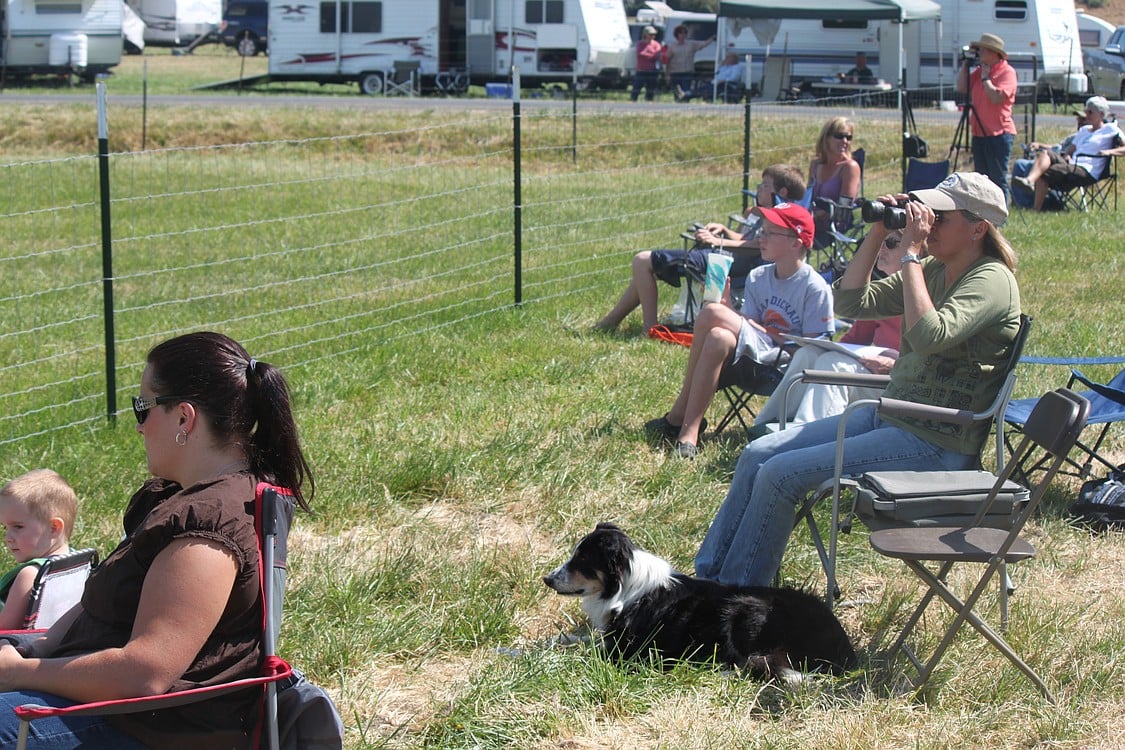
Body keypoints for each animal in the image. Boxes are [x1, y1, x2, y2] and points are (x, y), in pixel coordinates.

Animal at [542, 526, 850, 683]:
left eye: (582, 560)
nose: (547, 579)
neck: (624, 589)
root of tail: (843, 647)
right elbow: (579, 638)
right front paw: (552, 641)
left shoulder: (629, 651)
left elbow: (585, 650)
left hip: (745, 610)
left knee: (744, 663)